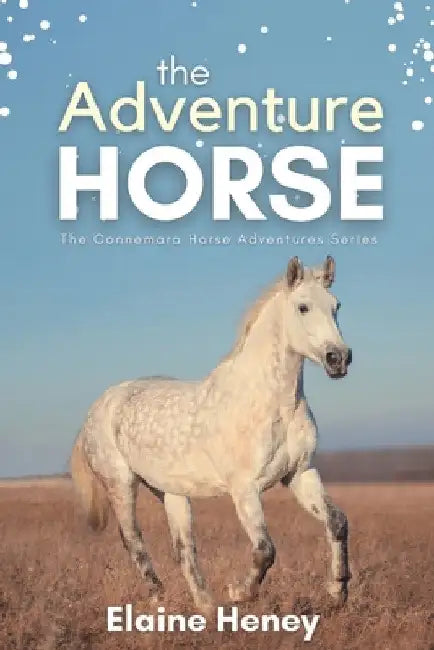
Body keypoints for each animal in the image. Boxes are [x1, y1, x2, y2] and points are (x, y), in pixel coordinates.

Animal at [70, 255, 352, 612]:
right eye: (303, 307)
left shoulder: (300, 474)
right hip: (120, 484)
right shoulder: (244, 489)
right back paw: (160, 598)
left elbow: (337, 522)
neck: (274, 404)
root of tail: (98, 407)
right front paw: (239, 592)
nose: (339, 358)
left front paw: (338, 590)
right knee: (133, 541)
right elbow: (265, 549)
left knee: (184, 550)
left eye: (336, 305)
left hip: (171, 492)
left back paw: (206, 608)